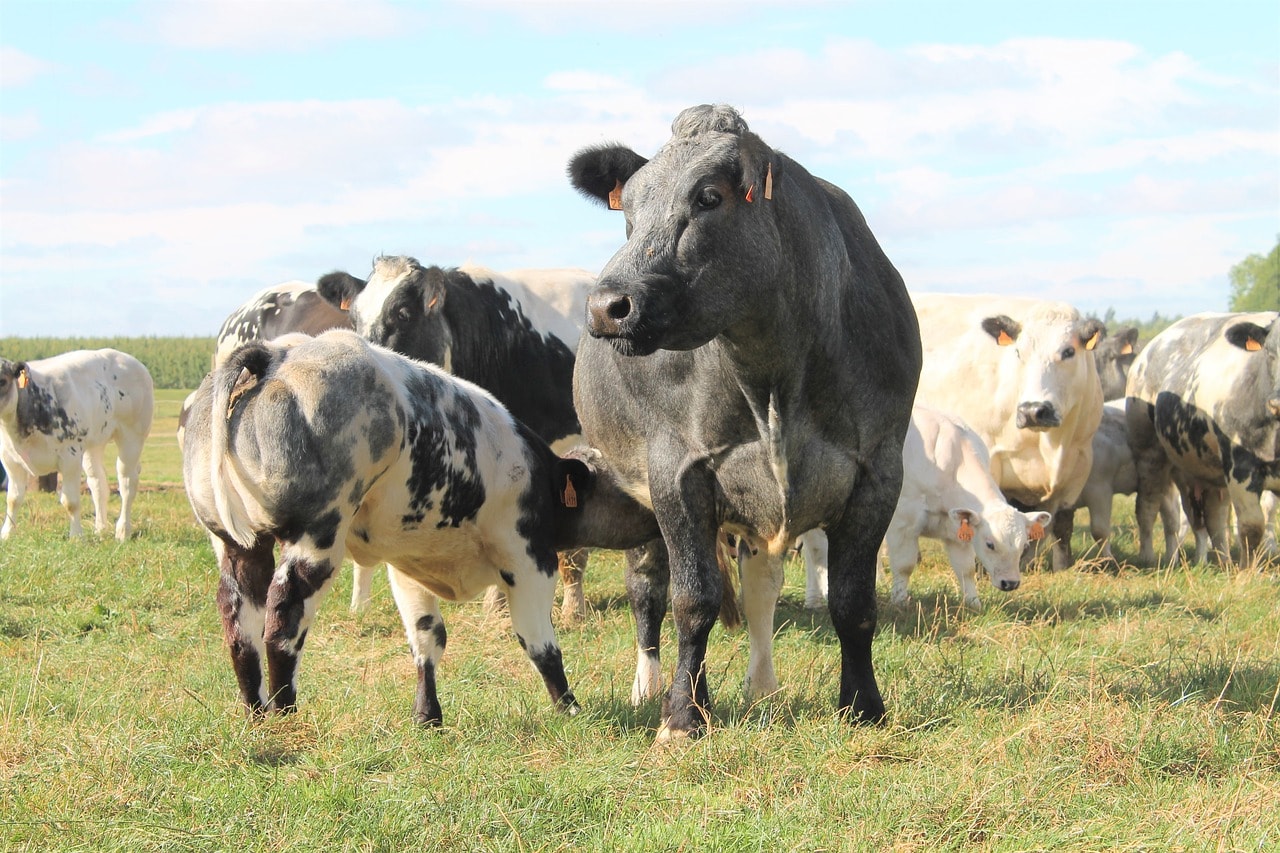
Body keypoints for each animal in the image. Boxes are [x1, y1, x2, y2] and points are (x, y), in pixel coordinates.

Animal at [0, 348, 153, 537]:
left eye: (2, 381)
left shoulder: (70, 457)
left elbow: (70, 501)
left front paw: (76, 536)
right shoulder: (9, 459)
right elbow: (13, 499)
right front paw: (6, 534)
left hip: (132, 437)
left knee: (127, 483)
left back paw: (123, 531)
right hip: (93, 444)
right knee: (98, 483)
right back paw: (100, 529)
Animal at [183, 330, 660, 722]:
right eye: (622, 482)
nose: (656, 513)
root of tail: (277, 354)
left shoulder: (408, 564)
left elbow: (427, 638)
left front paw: (428, 716)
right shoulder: (528, 559)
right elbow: (538, 641)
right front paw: (570, 709)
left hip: (236, 545)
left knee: (238, 622)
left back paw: (256, 712)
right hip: (315, 537)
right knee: (282, 620)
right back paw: (285, 713)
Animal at [565, 101, 916, 737]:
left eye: (708, 197)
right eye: (628, 207)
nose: (607, 306)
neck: (774, 375)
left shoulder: (878, 469)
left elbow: (853, 603)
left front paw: (863, 705)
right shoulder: (676, 470)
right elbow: (693, 600)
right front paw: (682, 716)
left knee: (758, 594)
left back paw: (760, 686)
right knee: (648, 589)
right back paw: (654, 687)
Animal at [911, 295, 1100, 568]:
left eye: (1069, 352)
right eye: (1018, 352)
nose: (1033, 410)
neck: (1050, 444)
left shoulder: (1079, 465)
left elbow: (1062, 525)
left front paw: (1062, 567)